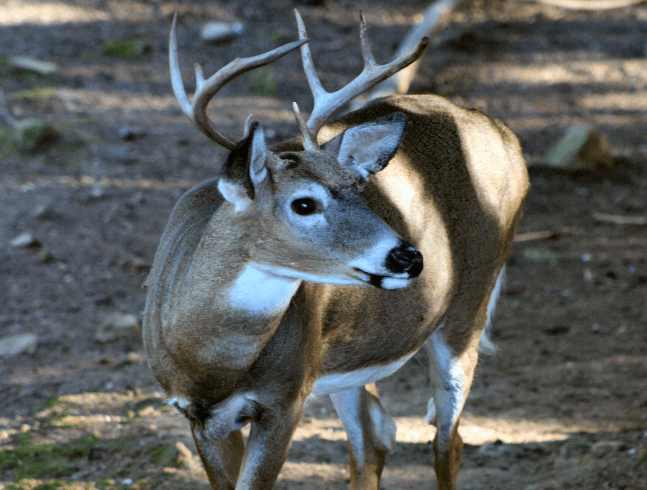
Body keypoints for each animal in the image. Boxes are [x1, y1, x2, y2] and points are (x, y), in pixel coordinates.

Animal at [144, 10, 528, 490]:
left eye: (358, 189)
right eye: (304, 203)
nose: (409, 256)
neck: (212, 364)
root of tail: (505, 134)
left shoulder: (285, 398)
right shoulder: (195, 414)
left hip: (469, 304)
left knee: (447, 440)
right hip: (345, 358)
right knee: (374, 438)